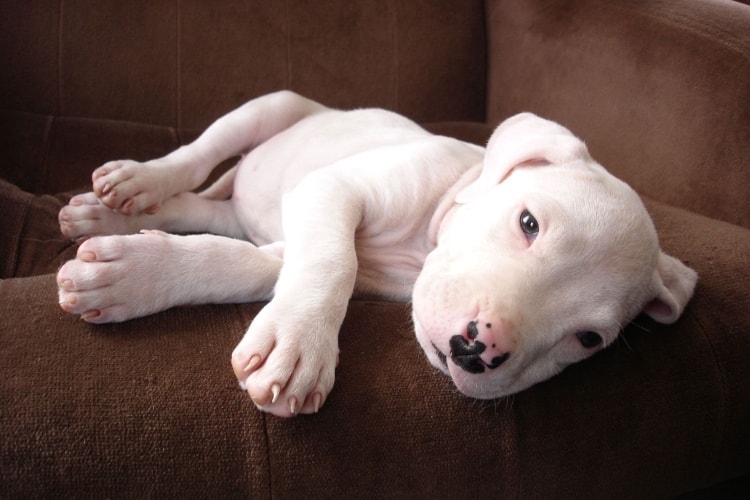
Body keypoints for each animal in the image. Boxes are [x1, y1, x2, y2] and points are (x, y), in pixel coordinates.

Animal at [57, 91, 700, 418]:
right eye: (528, 223)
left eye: (588, 340)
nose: (475, 351)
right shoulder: (334, 189)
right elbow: (331, 261)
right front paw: (300, 348)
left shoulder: (303, 242)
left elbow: (242, 263)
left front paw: (130, 278)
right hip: (271, 108)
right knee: (194, 158)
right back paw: (136, 181)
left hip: (237, 205)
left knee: (196, 211)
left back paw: (108, 215)